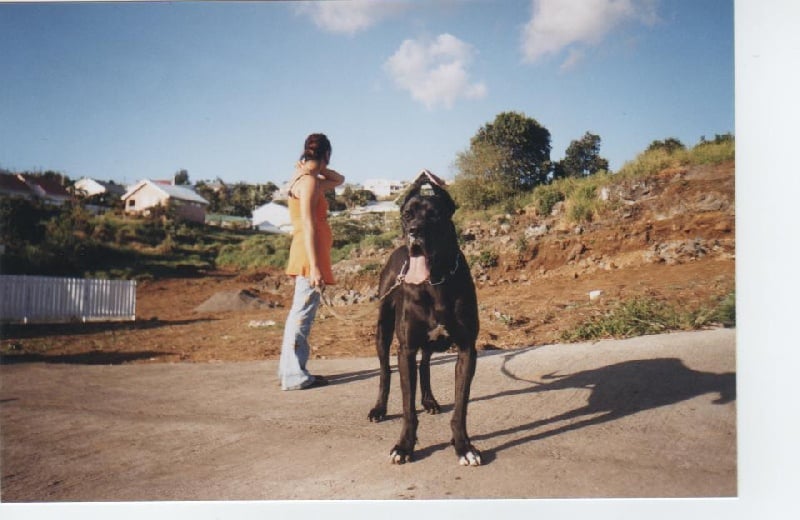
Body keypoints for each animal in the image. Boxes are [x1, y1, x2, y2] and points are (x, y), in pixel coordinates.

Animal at [368, 170, 482, 466]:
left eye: (434, 215)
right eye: (407, 215)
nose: (414, 232)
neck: (436, 281)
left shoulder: (467, 349)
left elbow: (461, 407)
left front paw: (464, 446)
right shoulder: (406, 348)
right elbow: (408, 408)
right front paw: (404, 446)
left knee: (426, 364)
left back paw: (429, 401)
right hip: (383, 330)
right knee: (385, 372)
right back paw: (379, 408)